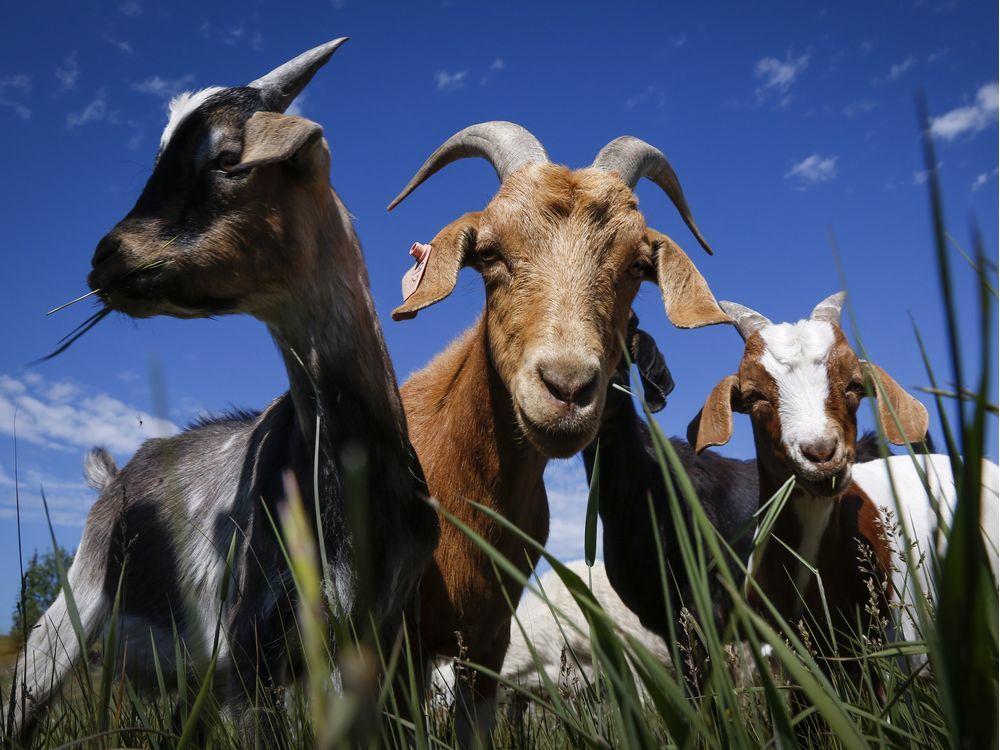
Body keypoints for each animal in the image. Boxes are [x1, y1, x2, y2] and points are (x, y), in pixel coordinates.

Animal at [10, 40, 439, 743]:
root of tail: (117, 476)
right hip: (71, 614)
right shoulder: (248, 656)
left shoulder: (377, 642)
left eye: (227, 158)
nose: (105, 258)